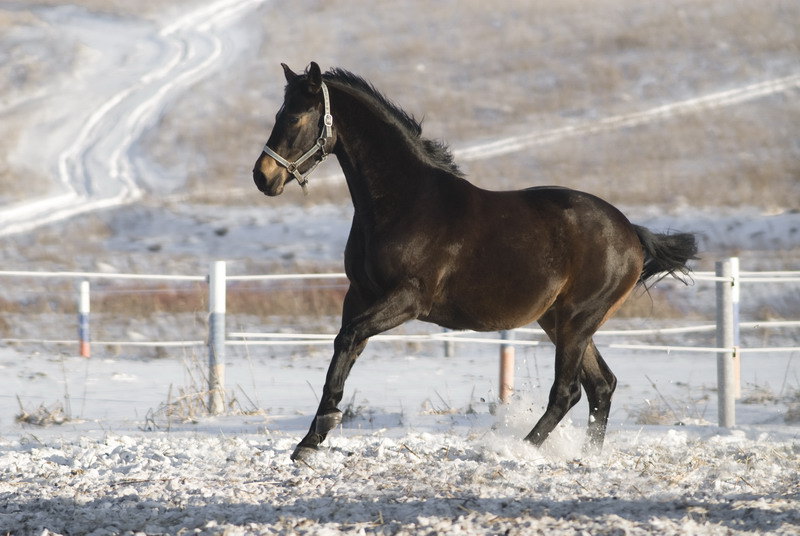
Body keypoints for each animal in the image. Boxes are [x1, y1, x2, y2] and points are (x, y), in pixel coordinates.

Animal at [253, 62, 696, 460]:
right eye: (278, 114)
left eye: (295, 117)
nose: (263, 176)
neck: (404, 203)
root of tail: (630, 232)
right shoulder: (360, 294)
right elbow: (344, 350)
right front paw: (311, 440)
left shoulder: (408, 299)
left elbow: (346, 340)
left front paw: (319, 431)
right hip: (560, 322)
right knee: (601, 385)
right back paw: (586, 456)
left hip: (577, 320)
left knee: (568, 392)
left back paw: (517, 449)